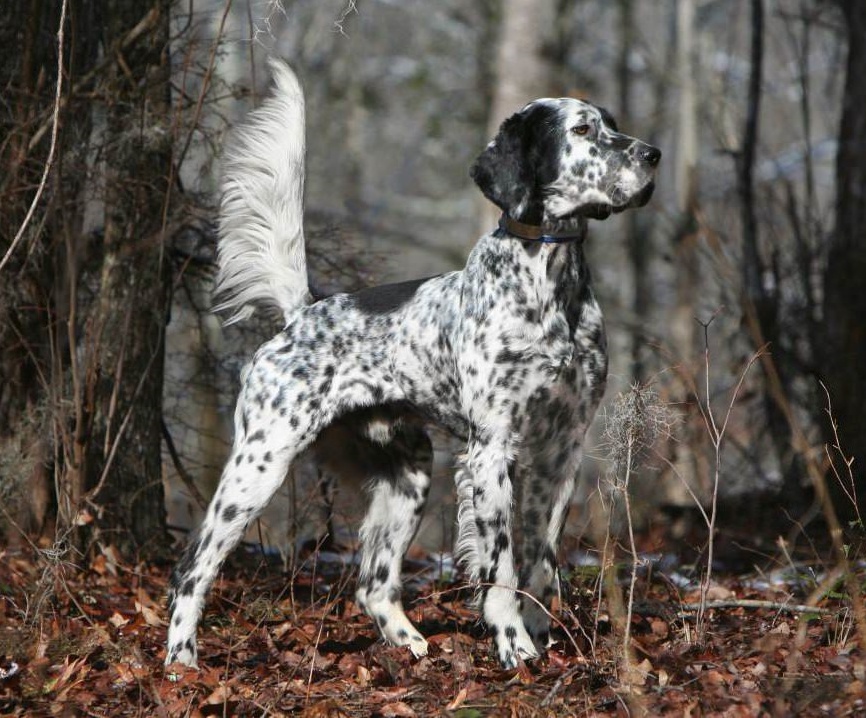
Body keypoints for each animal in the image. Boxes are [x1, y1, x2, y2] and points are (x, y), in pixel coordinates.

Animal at [165, 59, 660, 672]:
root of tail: (302, 314)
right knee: (192, 566)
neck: (551, 287)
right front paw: (514, 645)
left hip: (409, 470)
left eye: (611, 123)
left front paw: (542, 634)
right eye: (584, 130)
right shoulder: (491, 448)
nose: (652, 155)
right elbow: (501, 567)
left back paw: (411, 646)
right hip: (259, 463)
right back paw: (181, 661)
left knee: (373, 586)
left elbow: (542, 560)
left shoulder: (561, 449)